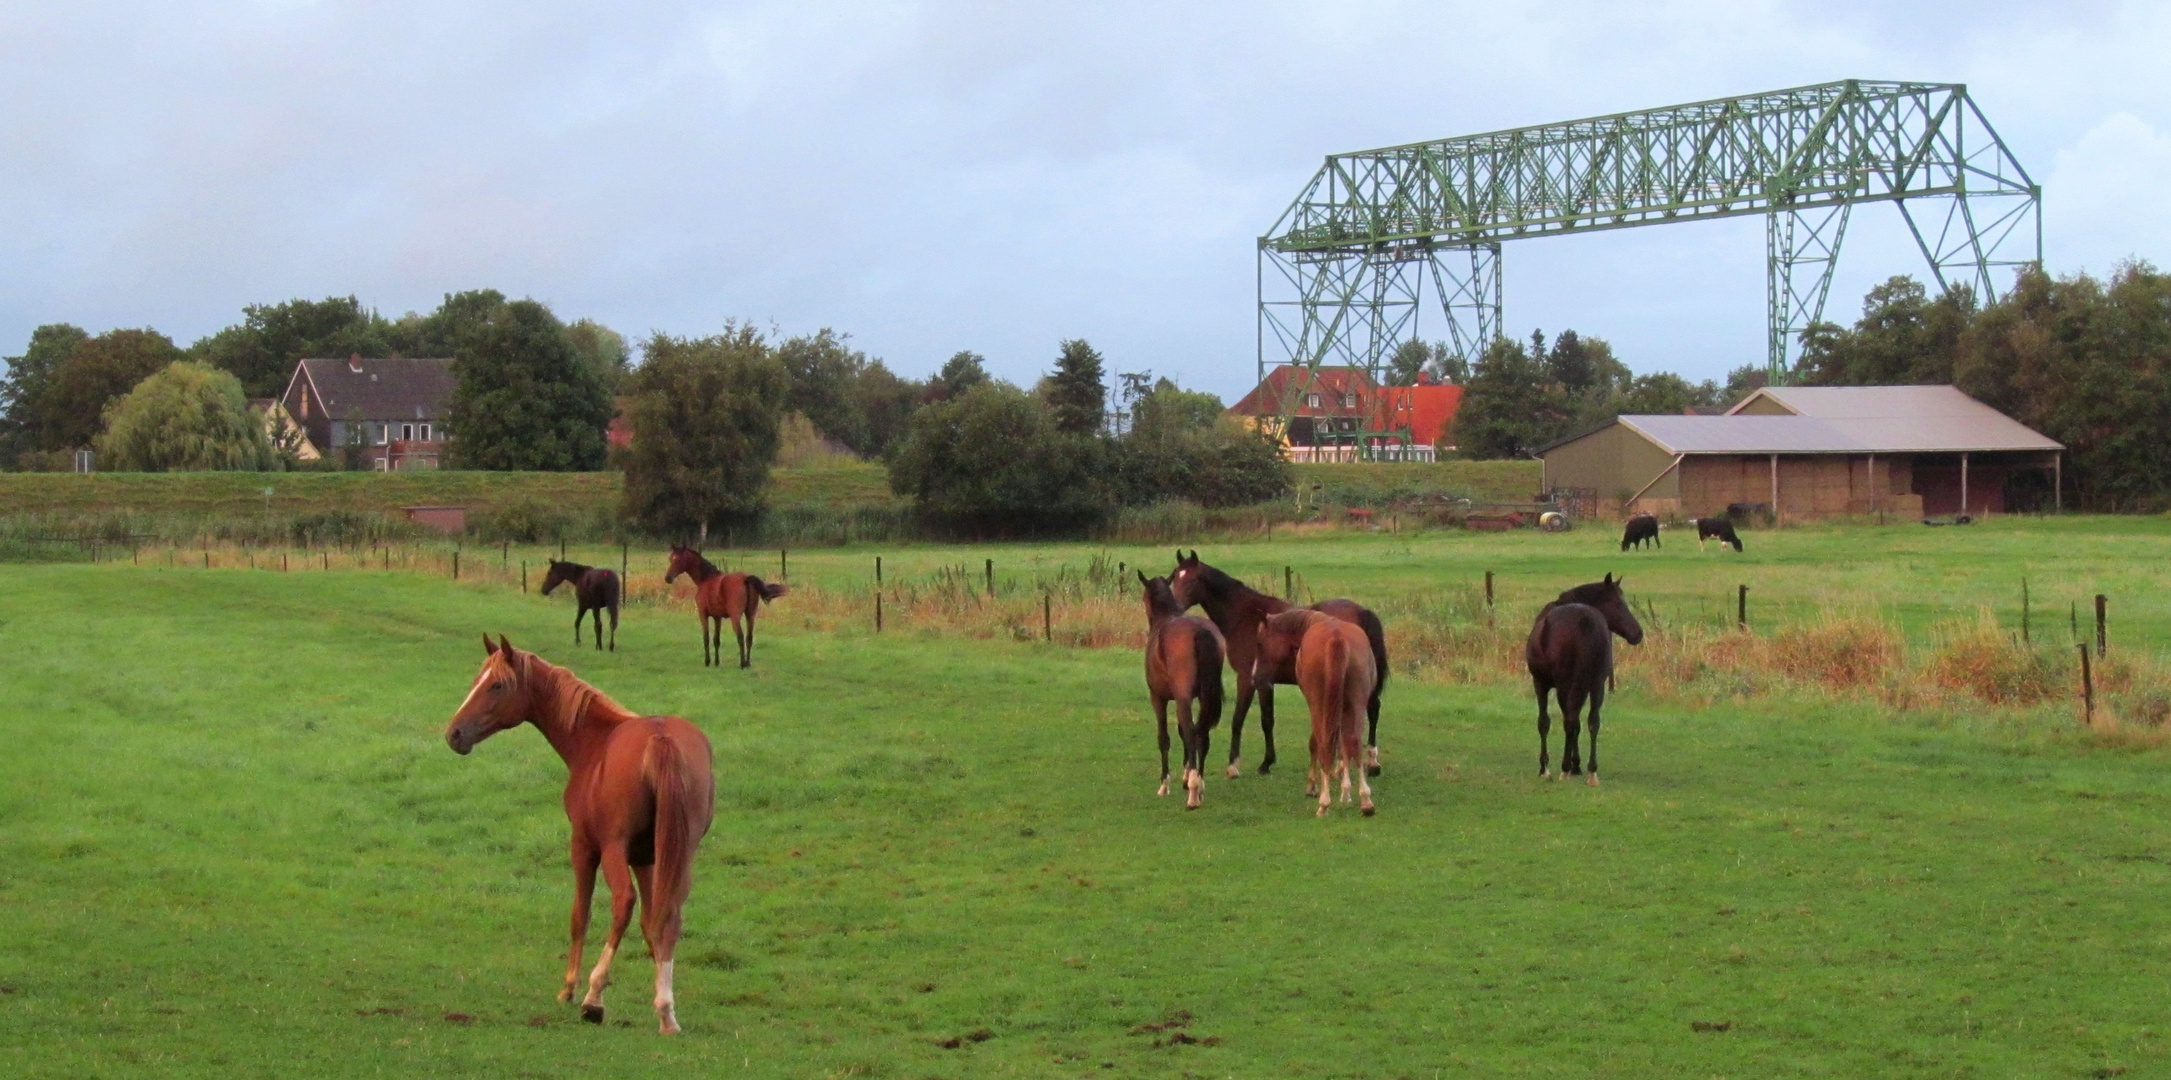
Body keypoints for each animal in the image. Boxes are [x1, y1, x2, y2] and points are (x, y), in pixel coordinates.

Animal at [440, 634, 712, 1030]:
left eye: (497, 685)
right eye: (479, 679)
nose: (454, 734)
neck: (593, 742)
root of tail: (661, 740)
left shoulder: (583, 848)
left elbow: (579, 915)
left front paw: (569, 988)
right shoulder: (647, 859)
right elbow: (653, 922)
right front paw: (663, 1002)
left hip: (612, 850)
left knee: (622, 903)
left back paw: (593, 997)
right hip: (681, 854)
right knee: (670, 914)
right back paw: (666, 1013)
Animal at [668, 547, 798, 664]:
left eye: (677, 560)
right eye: (670, 559)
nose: (667, 578)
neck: (706, 579)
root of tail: (746, 579)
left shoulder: (703, 614)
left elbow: (706, 638)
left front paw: (707, 661)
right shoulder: (717, 617)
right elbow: (716, 639)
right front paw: (716, 662)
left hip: (735, 617)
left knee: (740, 636)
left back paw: (742, 664)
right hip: (750, 615)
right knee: (749, 637)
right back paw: (748, 663)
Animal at [1137, 573, 1224, 808]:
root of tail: (1200, 632)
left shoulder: (1159, 698)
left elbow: (1165, 738)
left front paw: (1165, 785)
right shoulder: (1185, 698)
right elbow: (1182, 733)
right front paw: (1185, 776)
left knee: (1192, 733)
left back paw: (1193, 793)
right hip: (1204, 698)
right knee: (1201, 734)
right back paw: (1198, 784)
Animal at [1172, 556, 1389, 773]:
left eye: (1191, 580)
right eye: (1174, 578)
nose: (1175, 607)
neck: (1246, 617)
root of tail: (1362, 612)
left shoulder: (1250, 679)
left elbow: (1249, 720)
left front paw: (1244, 764)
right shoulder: (1261, 679)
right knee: (1372, 707)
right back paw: (1371, 761)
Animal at [1528, 573, 1641, 782]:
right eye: (1618, 602)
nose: (1638, 633)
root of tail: (1585, 622)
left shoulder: (1540, 683)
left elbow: (1545, 722)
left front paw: (1545, 767)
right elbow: (1580, 723)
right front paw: (1577, 764)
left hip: (1566, 684)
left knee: (1569, 721)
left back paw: (1565, 768)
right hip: (1595, 684)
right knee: (1593, 721)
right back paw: (1591, 770)